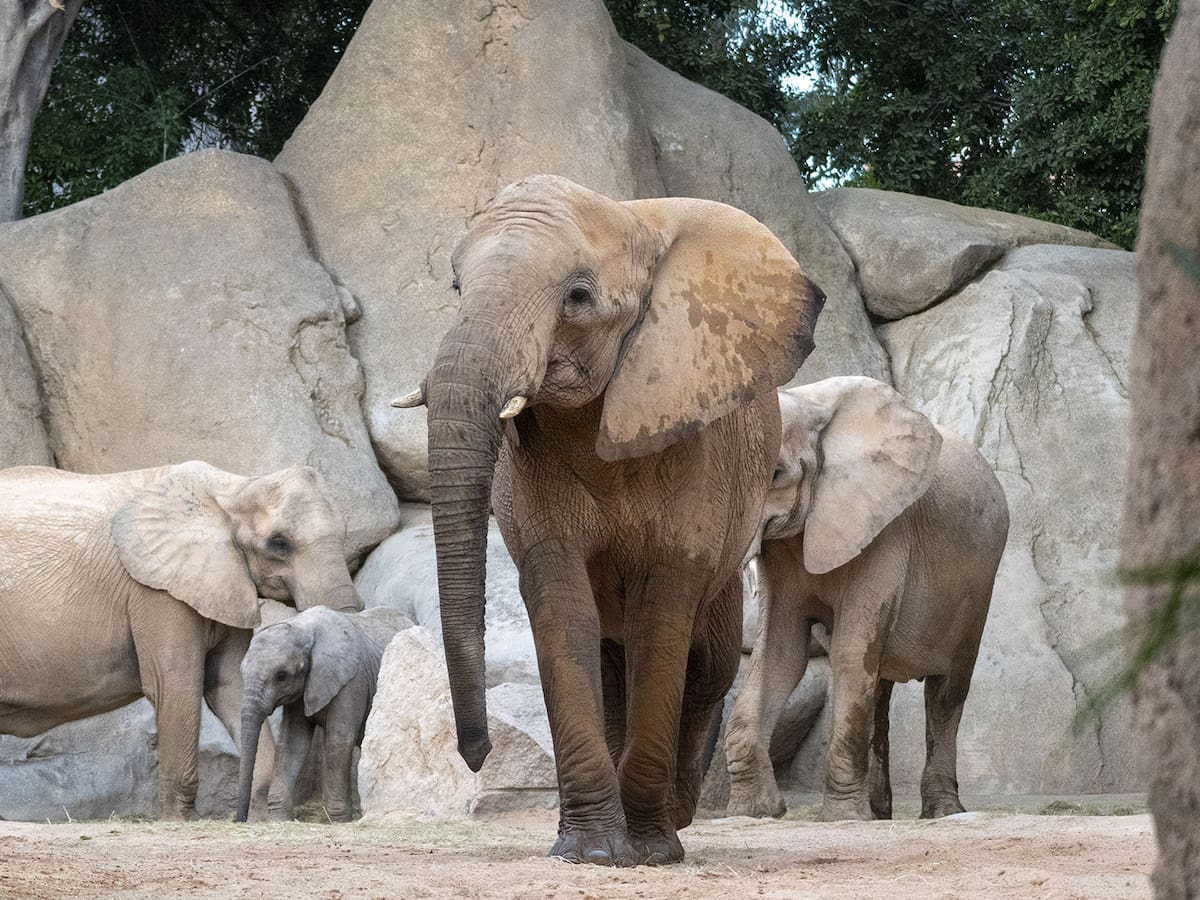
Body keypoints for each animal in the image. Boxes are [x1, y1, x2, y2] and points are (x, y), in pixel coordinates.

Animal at [0, 461, 363, 819]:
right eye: (279, 543)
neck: (234, 488)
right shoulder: (157, 590)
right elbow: (177, 685)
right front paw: (179, 819)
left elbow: (229, 688)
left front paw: (261, 816)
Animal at [235, 605, 412, 822]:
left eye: (281, 676)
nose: (240, 819)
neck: (304, 628)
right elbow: (292, 742)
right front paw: (279, 819)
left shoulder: (352, 681)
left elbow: (338, 740)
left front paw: (339, 820)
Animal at [392, 175, 824, 865]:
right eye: (457, 287)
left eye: (578, 296)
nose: (477, 753)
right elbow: (562, 610)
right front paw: (592, 850)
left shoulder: (691, 441)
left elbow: (663, 615)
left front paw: (649, 852)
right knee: (610, 658)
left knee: (709, 667)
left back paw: (678, 816)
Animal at [724, 377, 1009, 822]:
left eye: (776, 475)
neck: (810, 403)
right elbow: (781, 654)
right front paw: (753, 811)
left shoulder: (885, 530)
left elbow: (848, 652)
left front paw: (841, 819)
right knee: (877, 690)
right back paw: (879, 813)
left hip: (977, 586)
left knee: (946, 693)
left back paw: (942, 811)